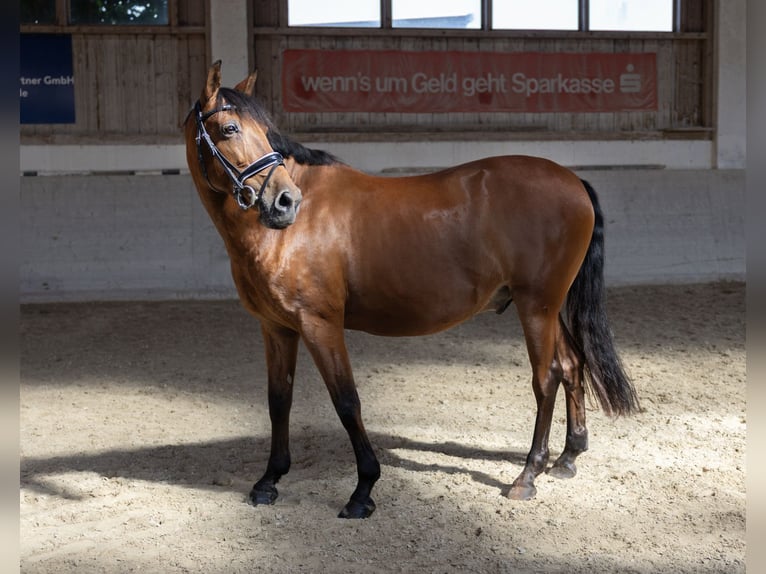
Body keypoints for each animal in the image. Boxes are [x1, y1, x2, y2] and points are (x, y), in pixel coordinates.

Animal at [183, 60, 639, 519]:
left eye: (264, 130)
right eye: (229, 129)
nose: (284, 201)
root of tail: (573, 180)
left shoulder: (320, 324)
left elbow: (346, 401)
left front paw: (363, 490)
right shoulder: (276, 328)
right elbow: (279, 400)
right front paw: (269, 481)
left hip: (536, 307)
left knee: (546, 378)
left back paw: (527, 476)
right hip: (550, 307)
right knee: (572, 366)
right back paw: (567, 458)